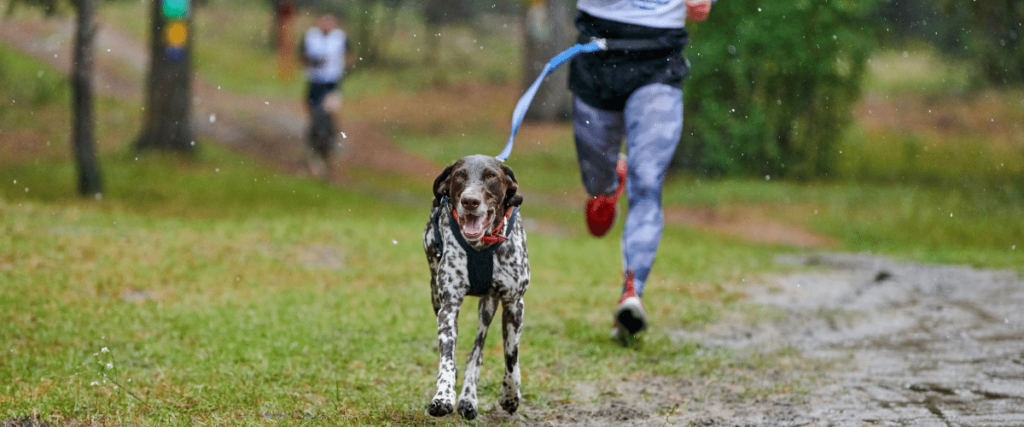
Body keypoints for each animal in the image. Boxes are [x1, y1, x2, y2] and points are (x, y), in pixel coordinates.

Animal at [421, 154, 528, 417]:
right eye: (459, 175)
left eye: (491, 175)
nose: (470, 201)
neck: (481, 246)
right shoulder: (448, 307)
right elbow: (447, 358)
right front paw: (443, 396)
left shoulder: (514, 304)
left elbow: (511, 357)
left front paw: (510, 395)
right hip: (435, 296)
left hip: (488, 307)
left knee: (476, 353)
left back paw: (469, 398)